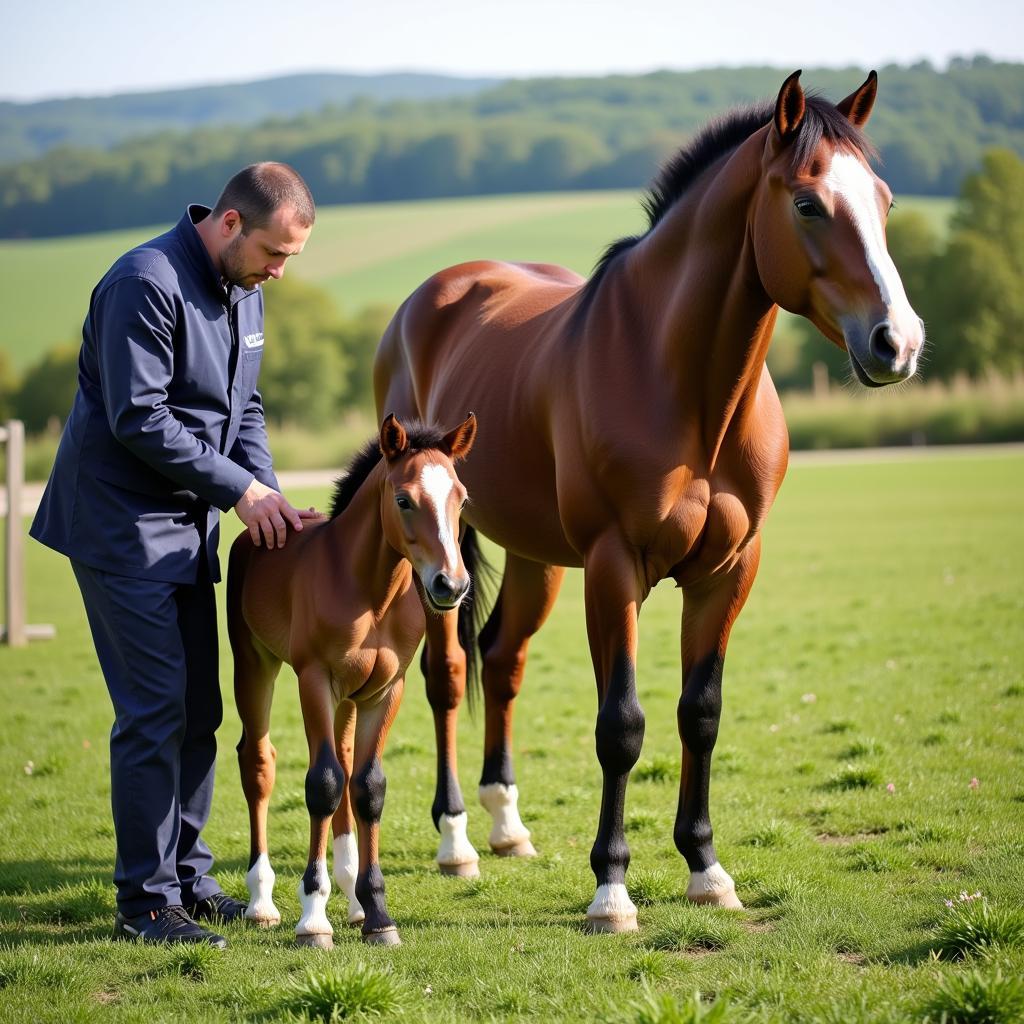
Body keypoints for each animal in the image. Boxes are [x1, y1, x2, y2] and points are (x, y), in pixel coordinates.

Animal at [228, 411, 479, 946]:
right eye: (404, 500)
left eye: (462, 499)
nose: (451, 585)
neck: (370, 591)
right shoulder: (314, 680)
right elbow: (322, 782)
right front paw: (312, 917)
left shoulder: (387, 689)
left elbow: (366, 785)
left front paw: (378, 912)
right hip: (255, 664)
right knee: (258, 761)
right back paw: (262, 901)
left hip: (349, 697)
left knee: (344, 758)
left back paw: (353, 899)